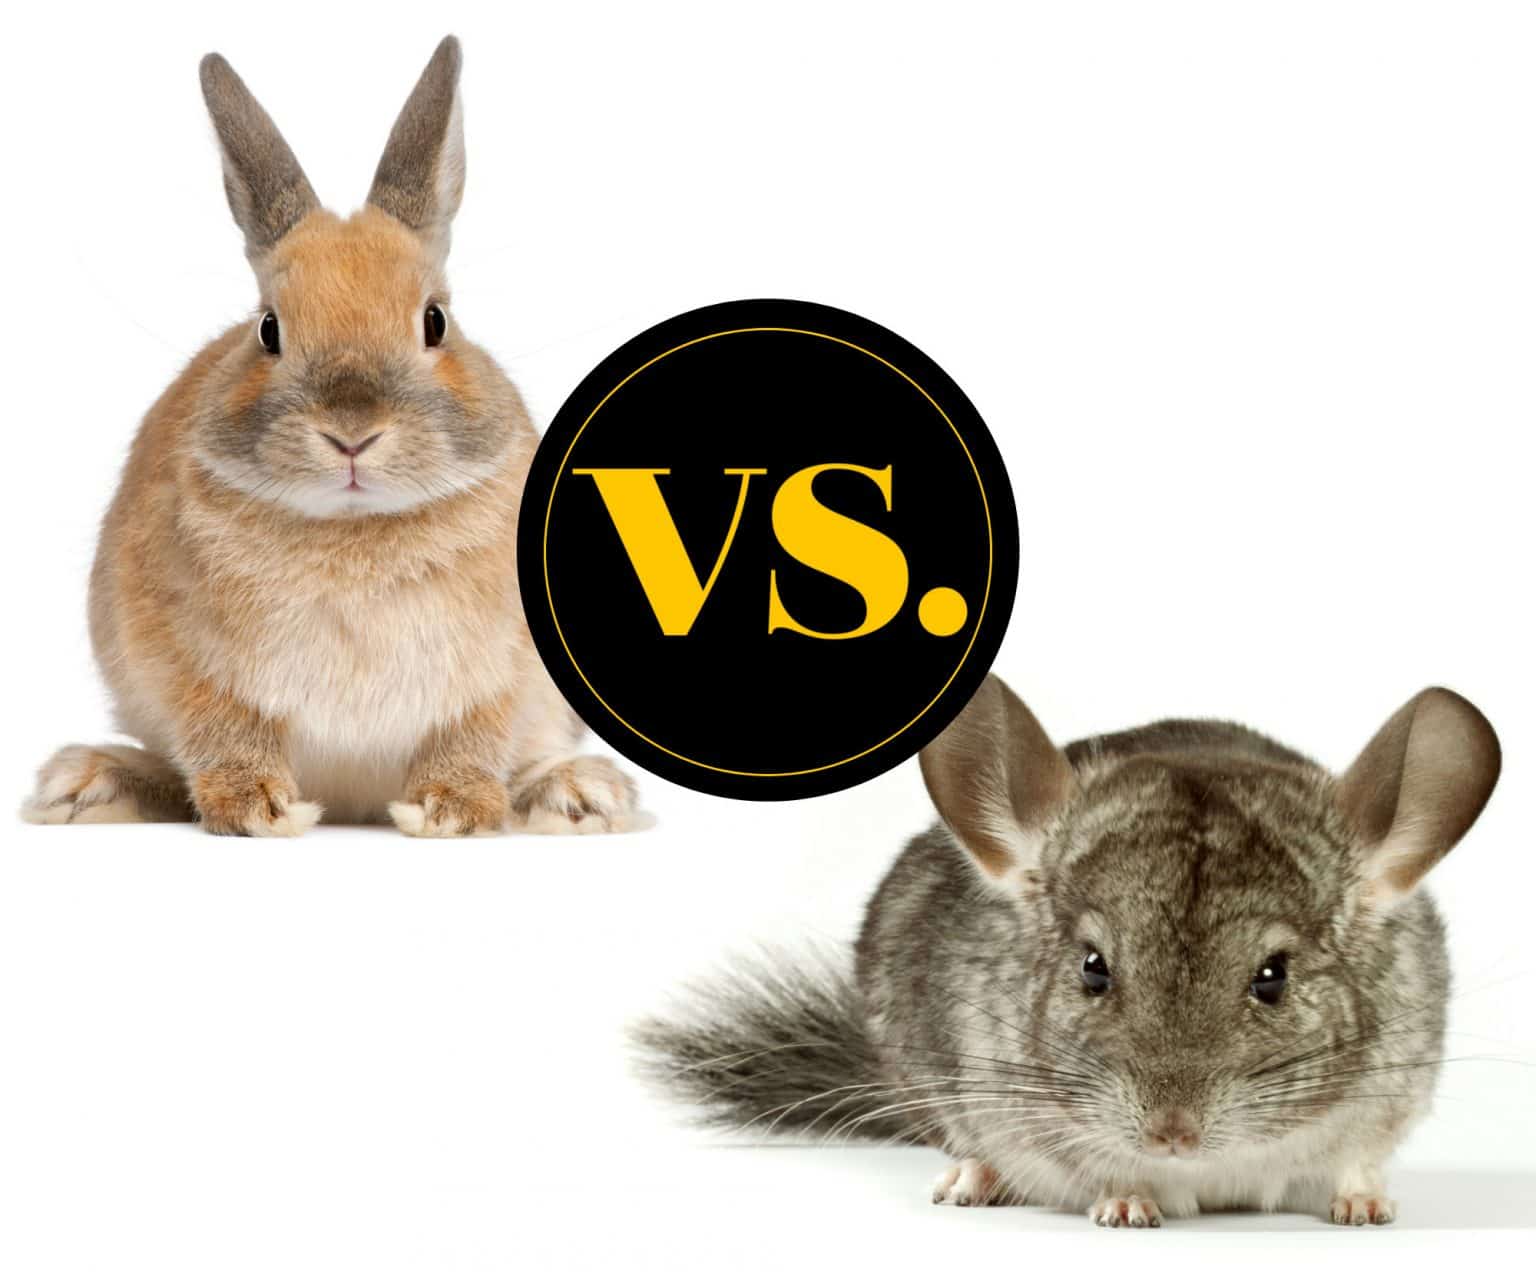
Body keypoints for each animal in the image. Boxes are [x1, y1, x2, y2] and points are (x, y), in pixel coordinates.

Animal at [21, 37, 638, 838]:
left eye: (435, 321)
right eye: (268, 329)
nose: (352, 434)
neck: (354, 531)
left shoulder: (496, 678)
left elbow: (472, 739)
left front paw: (451, 811)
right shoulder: (188, 666)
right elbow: (223, 733)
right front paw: (257, 808)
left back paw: (580, 793)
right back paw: (88, 783)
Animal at [633, 675, 1501, 1226]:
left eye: (1273, 977)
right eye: (1093, 967)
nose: (1173, 1135)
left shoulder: (1391, 1097)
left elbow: (1357, 1161)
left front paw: (1366, 1206)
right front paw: (1124, 1205)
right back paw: (972, 1180)